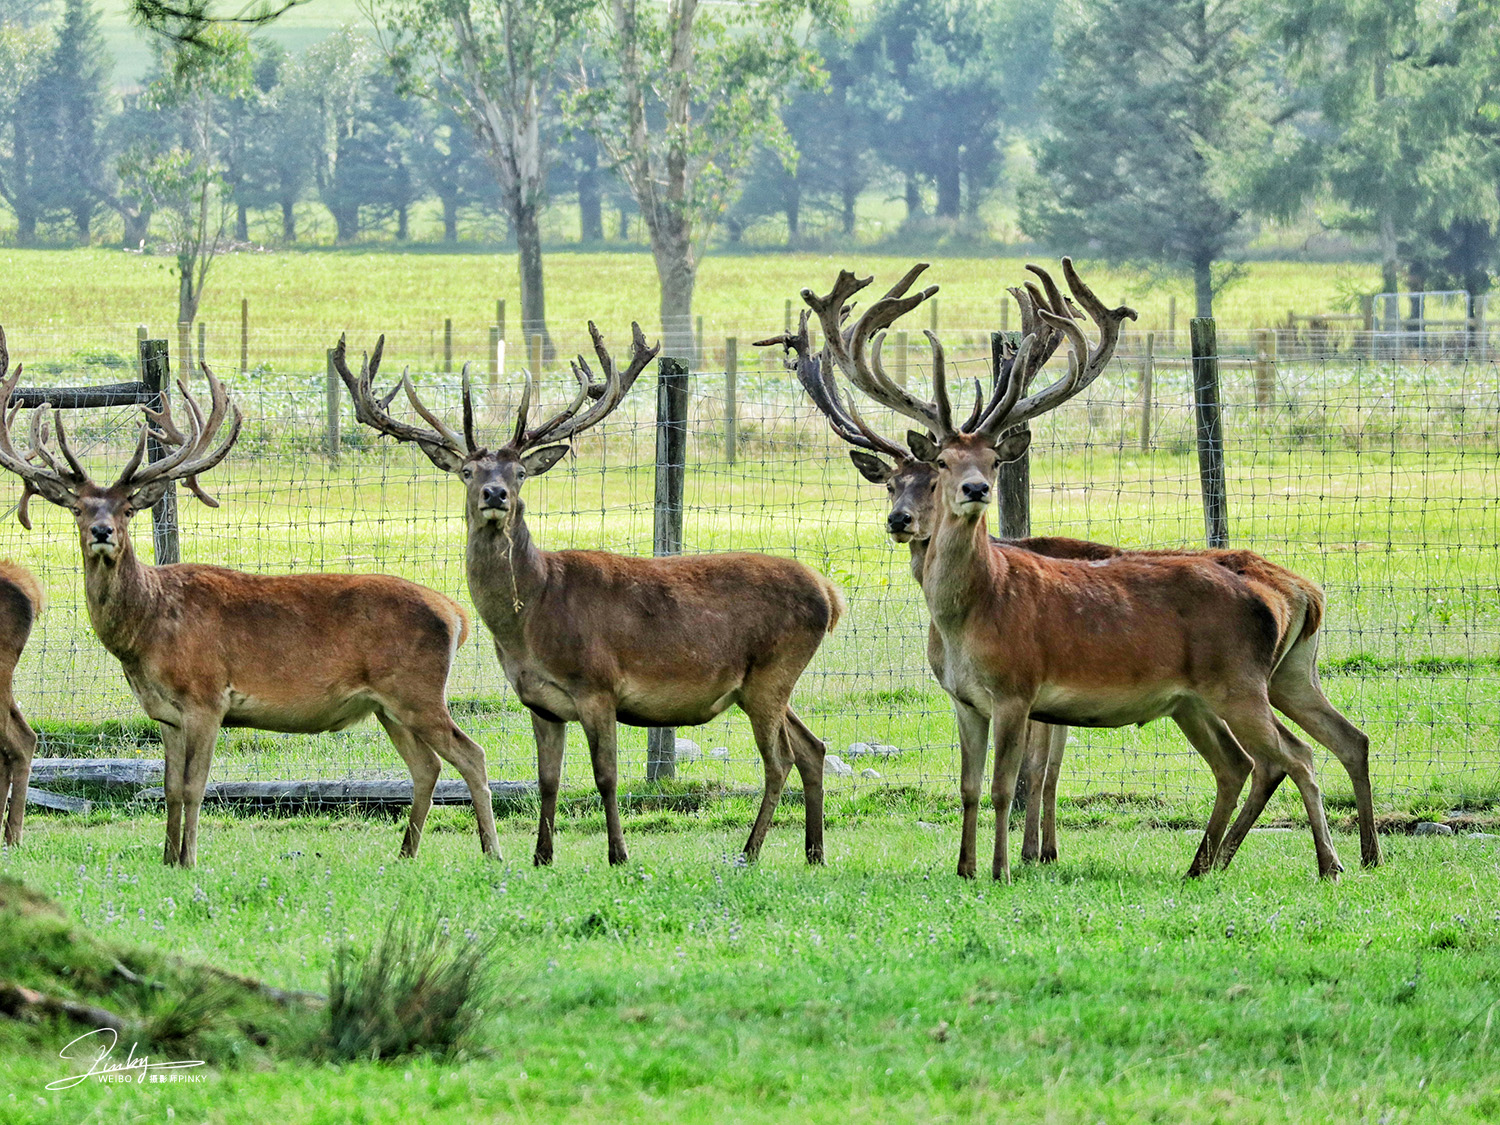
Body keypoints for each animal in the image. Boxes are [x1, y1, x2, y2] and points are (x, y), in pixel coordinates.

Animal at [0, 328, 504, 870]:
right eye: (77, 508)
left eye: (128, 509)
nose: (101, 532)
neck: (146, 633)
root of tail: (456, 614)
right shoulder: (166, 715)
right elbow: (169, 790)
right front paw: (167, 858)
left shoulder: (206, 697)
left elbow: (194, 788)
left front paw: (189, 860)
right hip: (389, 706)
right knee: (427, 766)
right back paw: (407, 853)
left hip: (418, 690)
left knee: (472, 754)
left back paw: (492, 852)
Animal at [333, 321, 846, 870]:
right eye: (468, 472)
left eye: (518, 473)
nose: (496, 495)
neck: (534, 614)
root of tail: (830, 595)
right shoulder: (540, 701)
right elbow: (547, 780)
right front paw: (541, 856)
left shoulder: (599, 686)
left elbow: (606, 777)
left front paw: (618, 854)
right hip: (763, 684)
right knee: (812, 748)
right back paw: (814, 852)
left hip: (773, 671)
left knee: (780, 760)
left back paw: (750, 852)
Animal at [798, 259, 1380, 888]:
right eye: (944, 463)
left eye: (991, 461)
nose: (974, 490)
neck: (971, 616)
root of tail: (1300, 592)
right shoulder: (964, 700)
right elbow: (971, 787)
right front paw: (966, 868)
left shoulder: (1019, 691)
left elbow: (1011, 785)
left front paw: (1008, 867)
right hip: (1239, 687)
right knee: (1286, 753)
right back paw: (1215, 864)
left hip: (1239, 681)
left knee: (1291, 756)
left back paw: (1328, 864)